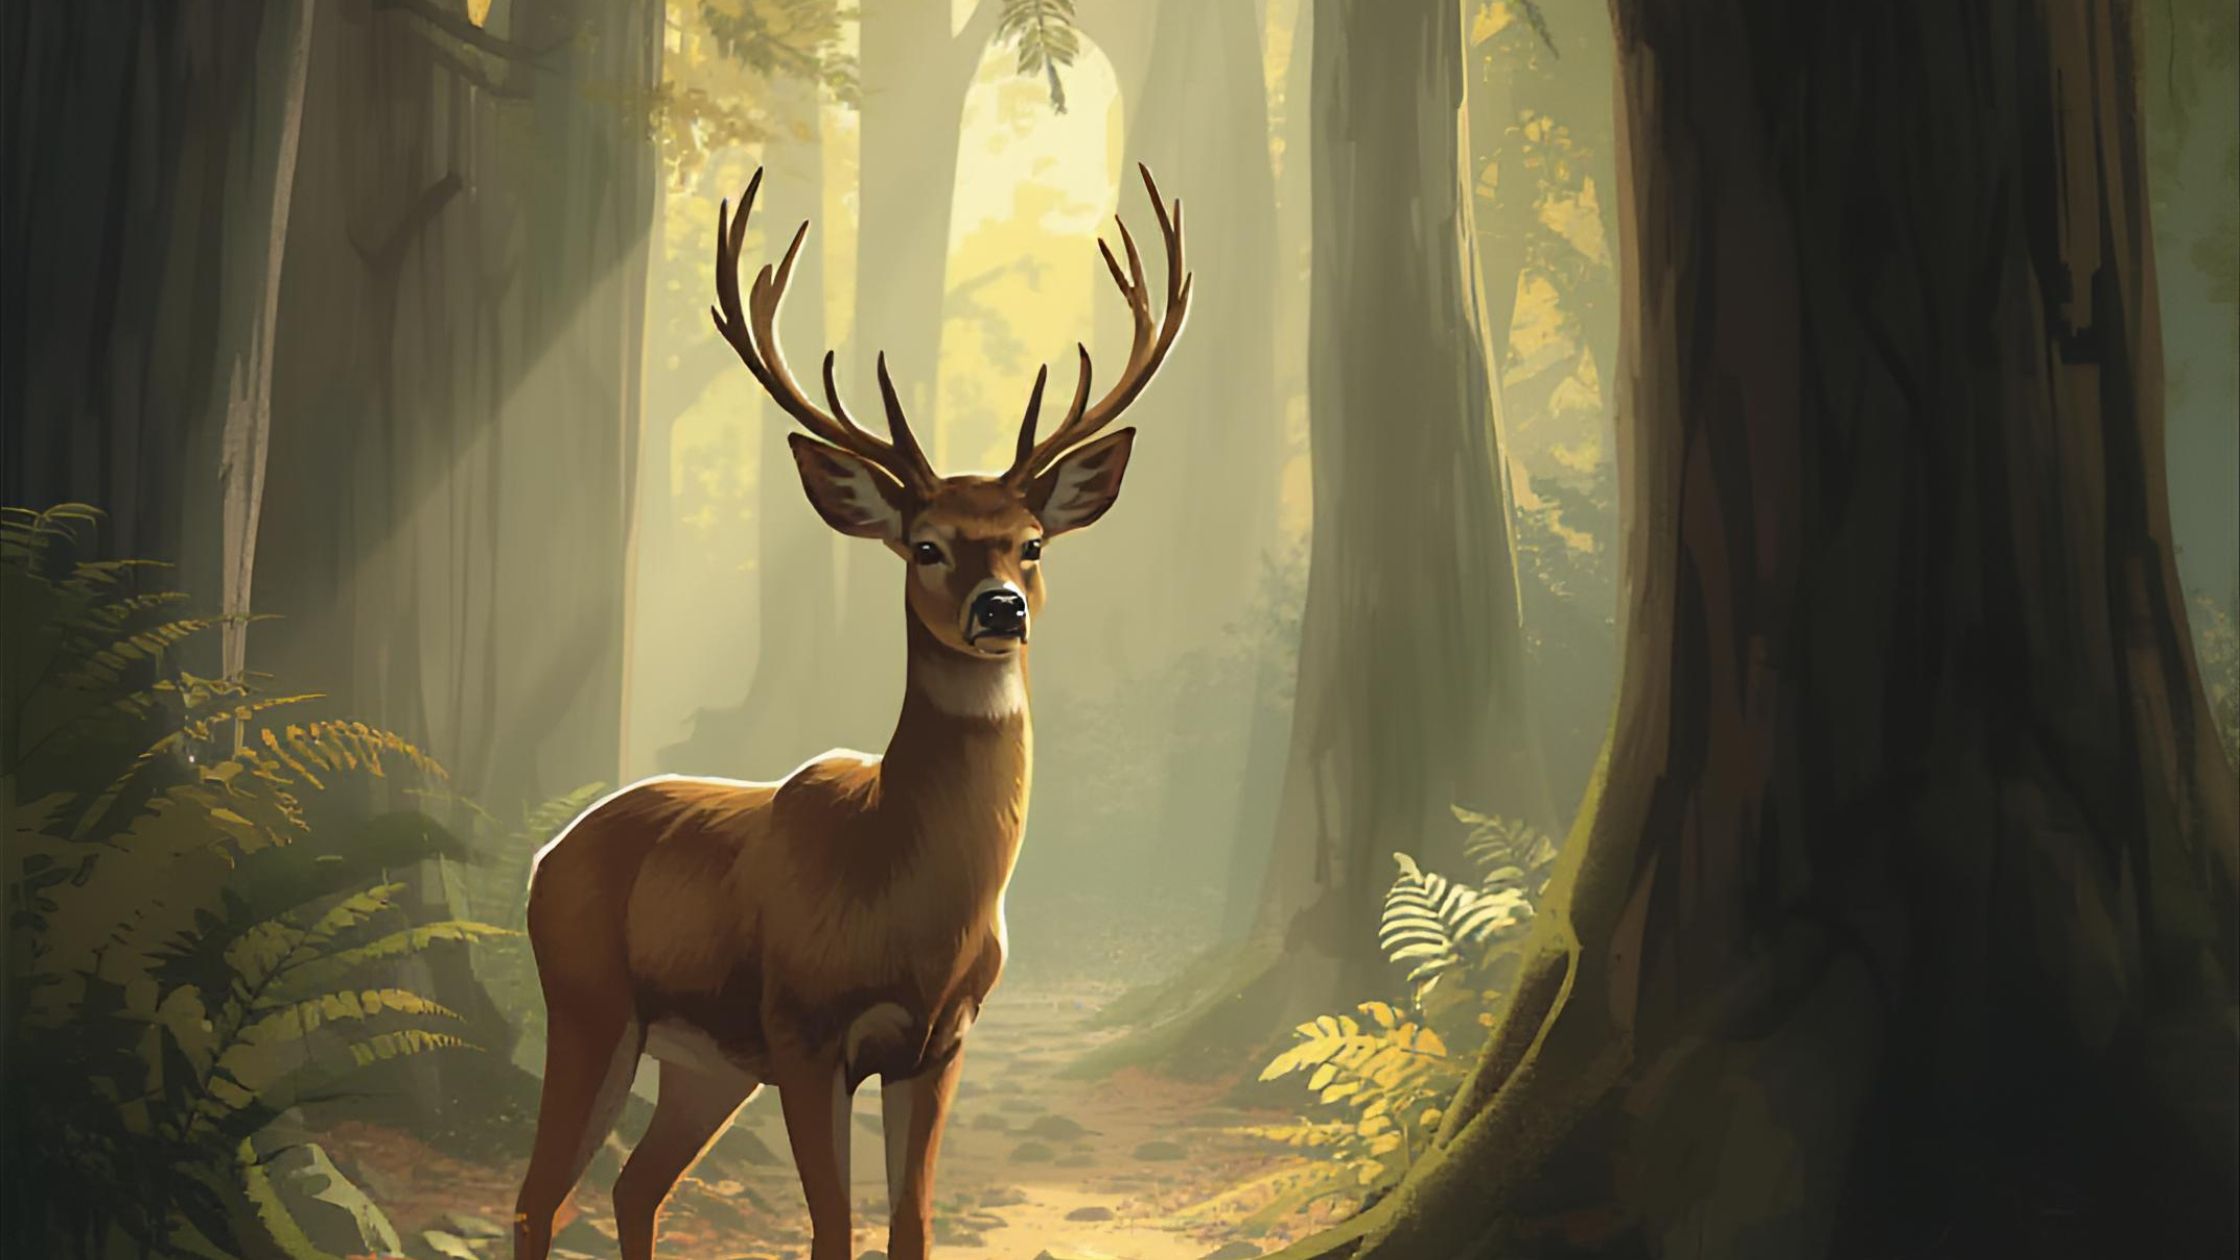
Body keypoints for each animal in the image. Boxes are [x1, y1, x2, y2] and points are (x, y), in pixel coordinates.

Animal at [510, 164, 1190, 1260]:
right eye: (925, 544)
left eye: (1032, 542)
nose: (998, 608)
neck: (904, 901)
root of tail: (542, 857)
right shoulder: (803, 1028)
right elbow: (831, 1229)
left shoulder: (942, 1041)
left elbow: (911, 1224)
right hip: (589, 1001)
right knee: (540, 1195)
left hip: (705, 1064)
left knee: (633, 1187)